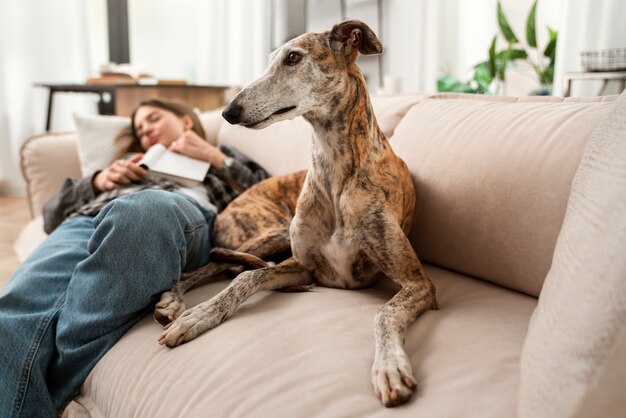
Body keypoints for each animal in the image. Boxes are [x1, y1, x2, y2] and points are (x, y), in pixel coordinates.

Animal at [158, 20, 436, 408]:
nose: (229, 111)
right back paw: (174, 299)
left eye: (293, 58)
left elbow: (385, 311)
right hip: (269, 233)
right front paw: (199, 315)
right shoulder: (304, 266)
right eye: (270, 59)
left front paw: (390, 367)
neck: (336, 171)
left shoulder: (418, 283)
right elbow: (245, 278)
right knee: (211, 265)